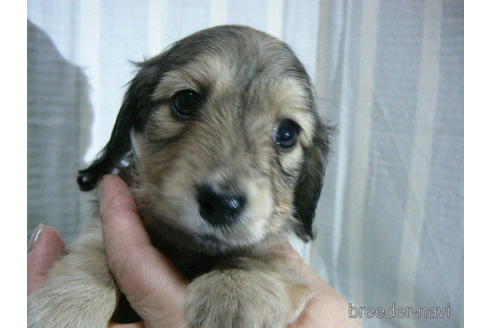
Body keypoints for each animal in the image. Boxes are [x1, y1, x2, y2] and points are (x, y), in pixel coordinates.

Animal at [26, 24, 328, 326]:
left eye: (287, 133)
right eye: (186, 100)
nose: (222, 204)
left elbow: (260, 256)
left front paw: (235, 290)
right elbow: (95, 249)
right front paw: (67, 305)